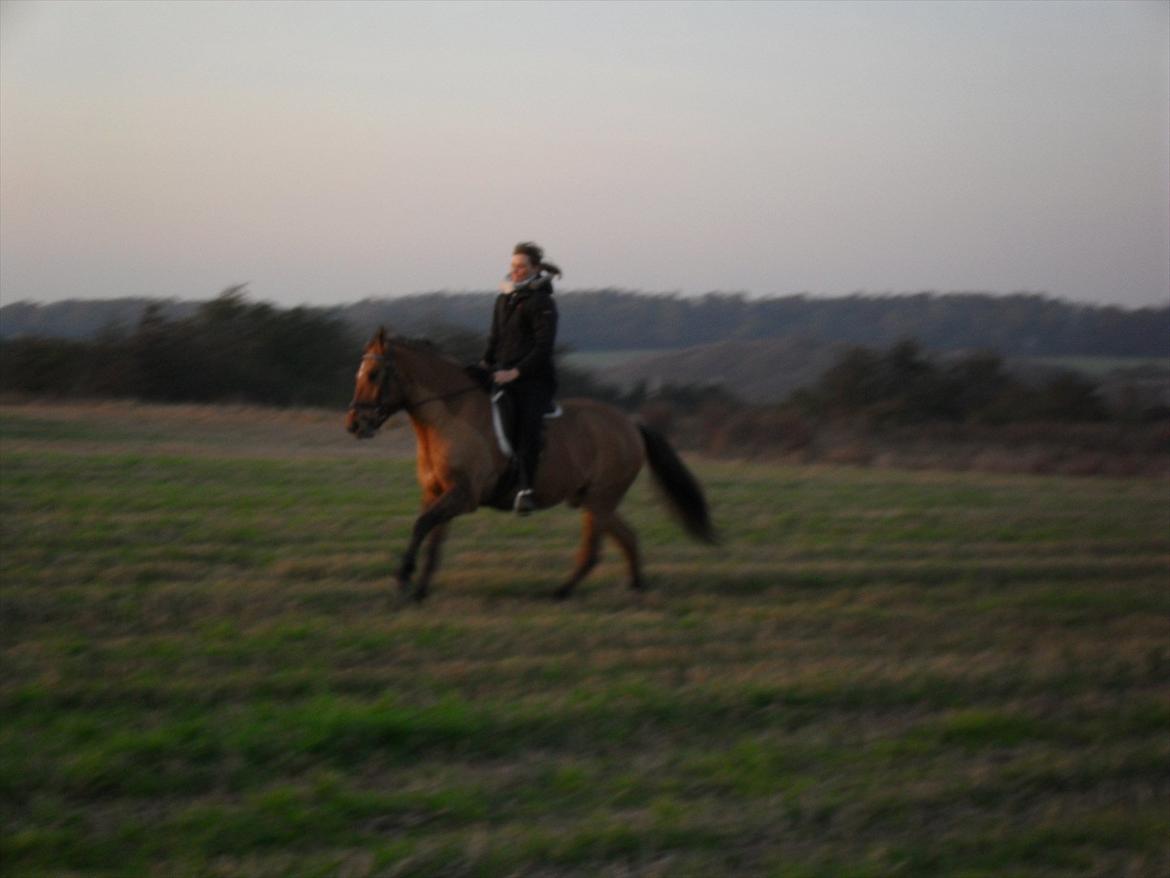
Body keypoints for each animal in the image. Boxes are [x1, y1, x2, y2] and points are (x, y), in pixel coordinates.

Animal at [343, 330, 711, 604]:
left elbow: (422, 526)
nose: (354, 424)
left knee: (595, 549)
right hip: (592, 499)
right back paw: (636, 590)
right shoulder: (436, 492)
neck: (449, 418)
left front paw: (403, 579)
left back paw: (563, 592)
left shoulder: (464, 496)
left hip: (601, 498)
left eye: (373, 374)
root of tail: (631, 424)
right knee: (627, 538)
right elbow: (433, 538)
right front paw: (419, 591)